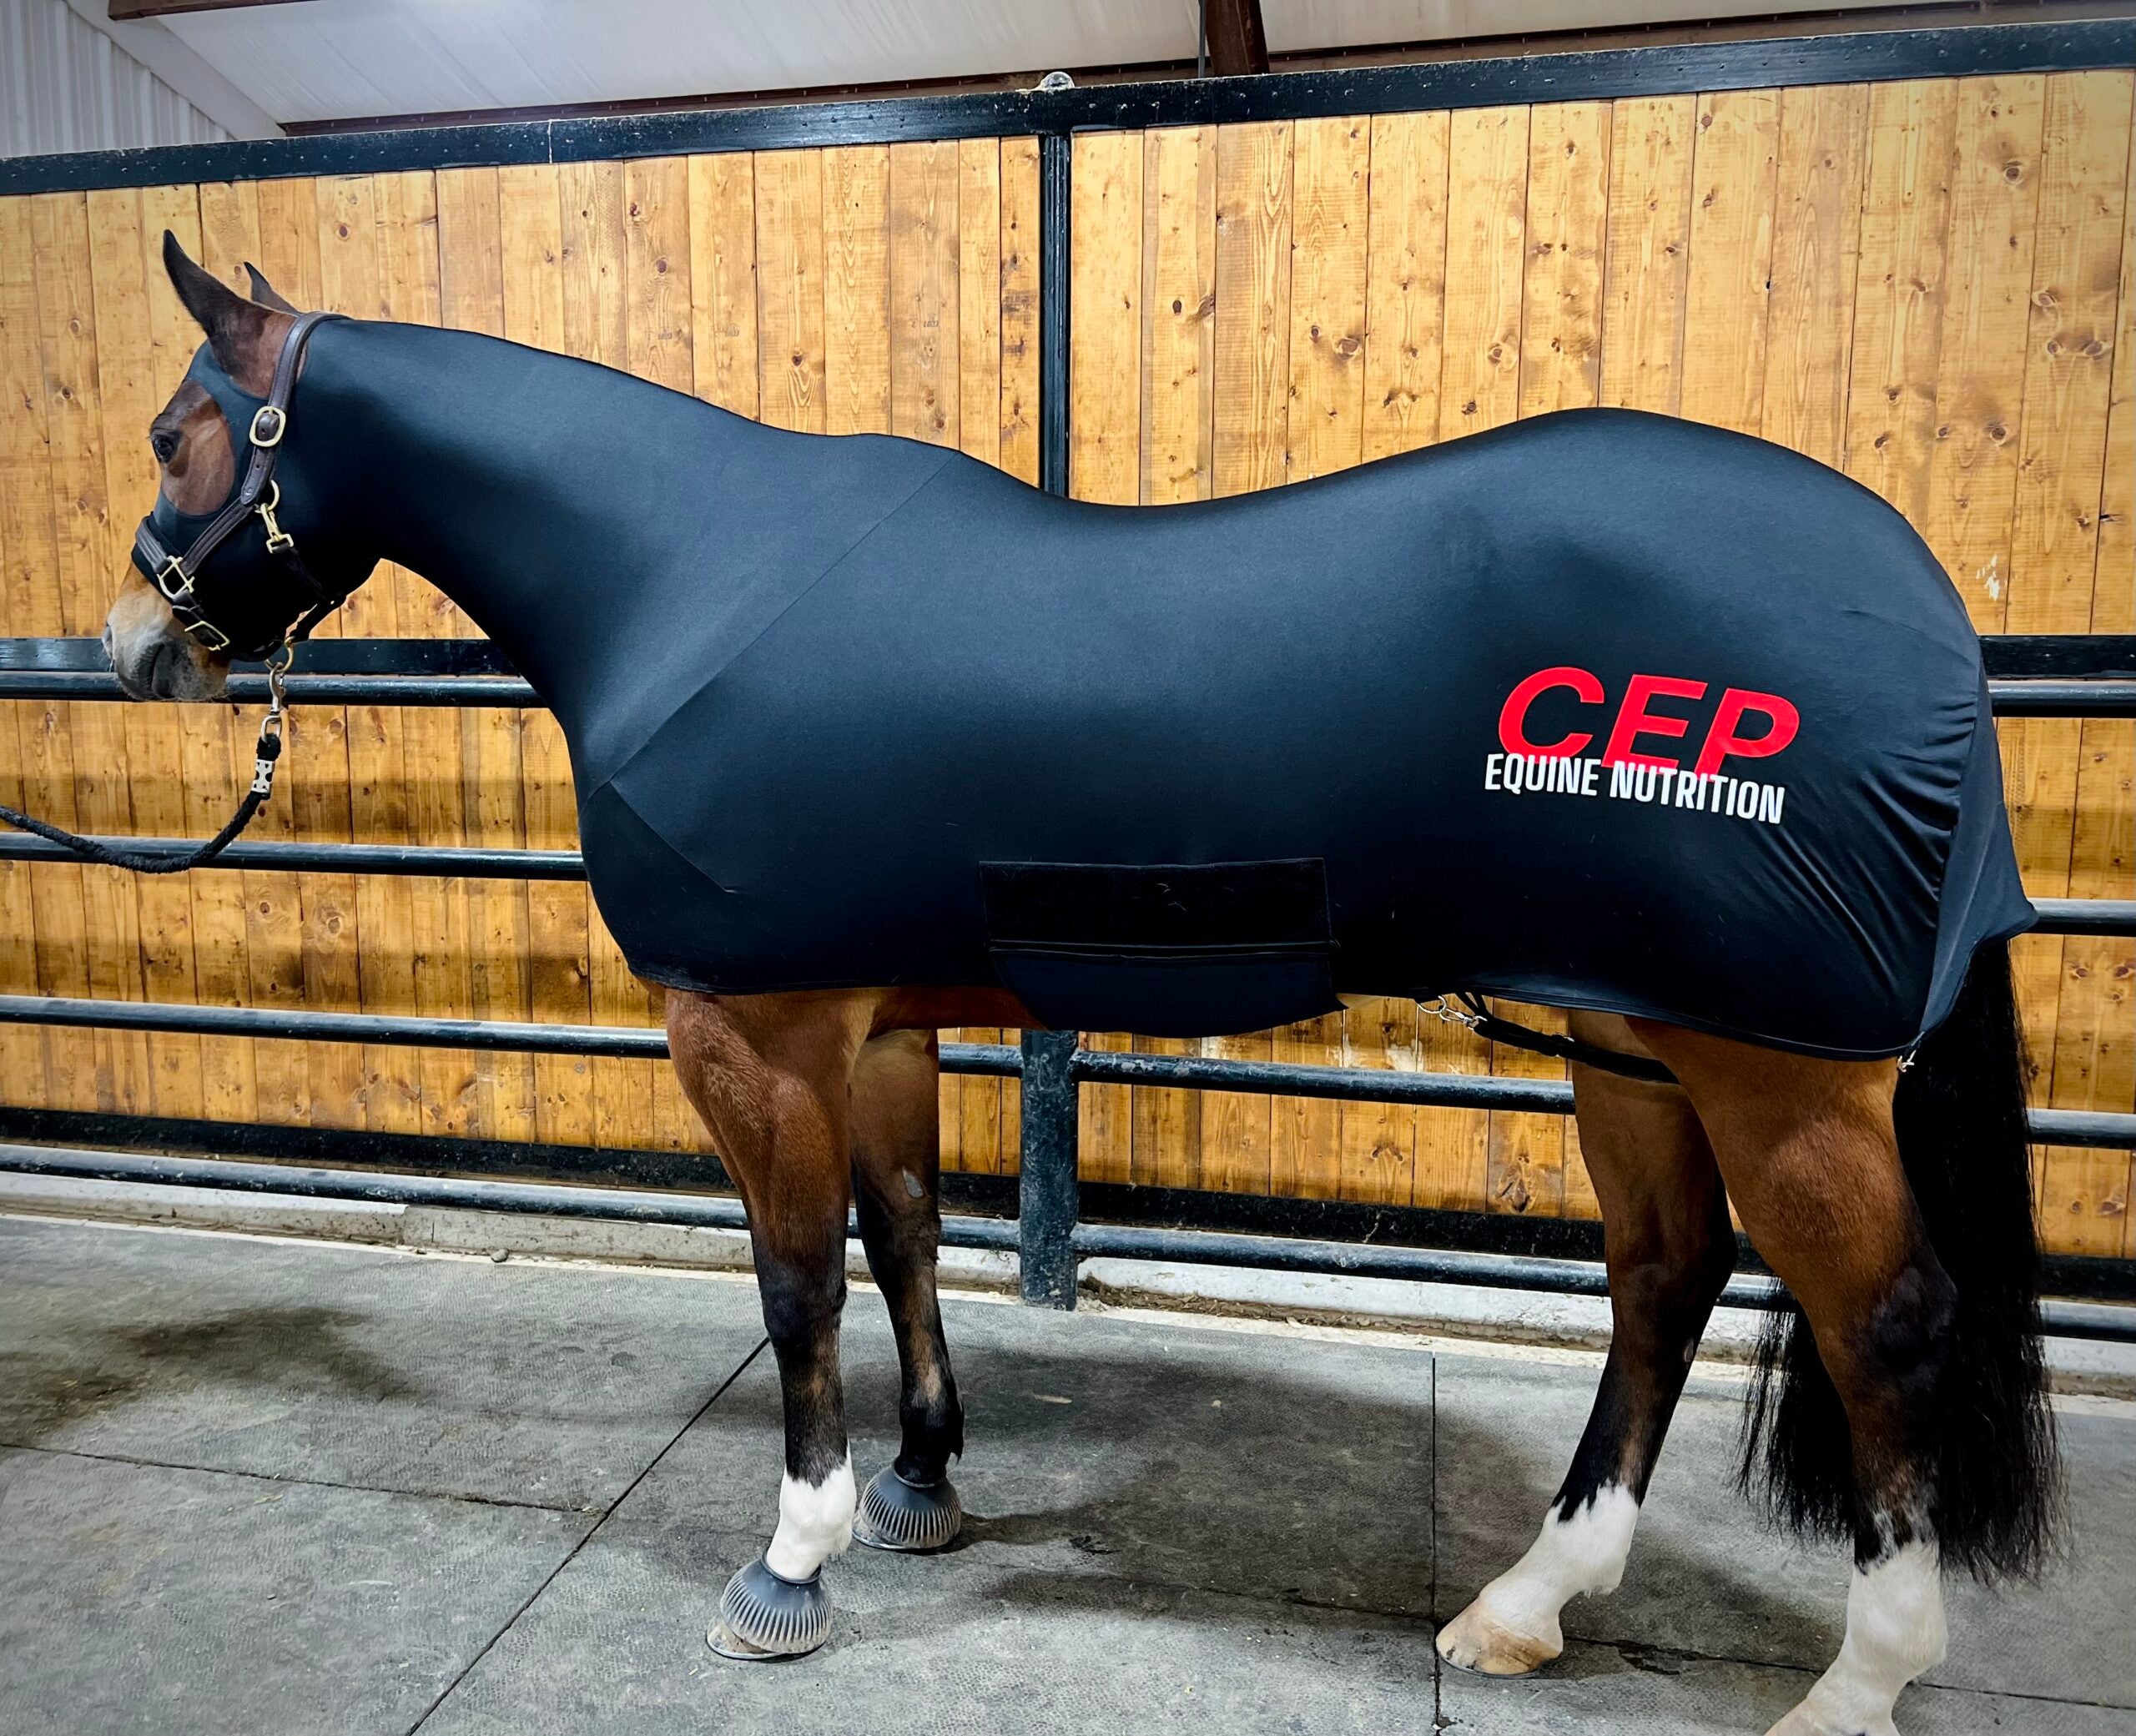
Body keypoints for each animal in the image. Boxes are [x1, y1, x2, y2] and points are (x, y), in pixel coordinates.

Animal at [99, 234, 2061, 1736]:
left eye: (183, 428)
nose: (133, 647)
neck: (674, 572)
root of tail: (1918, 610)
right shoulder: (874, 1021)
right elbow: (902, 1229)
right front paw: (921, 1482)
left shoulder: (750, 1031)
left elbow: (797, 1276)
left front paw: (790, 1556)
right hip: (1624, 1032)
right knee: (1663, 1278)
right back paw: (1526, 1601)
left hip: (1769, 1064)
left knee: (1884, 1321)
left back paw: (1852, 1684)